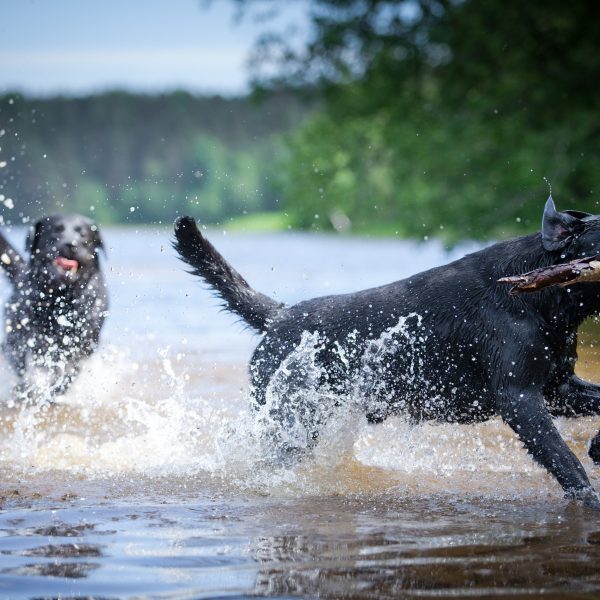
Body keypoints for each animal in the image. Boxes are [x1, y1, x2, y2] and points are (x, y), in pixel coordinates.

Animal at [0, 213, 108, 400]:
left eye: (82, 234)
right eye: (56, 231)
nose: (71, 244)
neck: (61, 300)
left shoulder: (83, 341)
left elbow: (71, 368)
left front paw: (56, 388)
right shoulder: (30, 338)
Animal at [172, 199, 600, 508]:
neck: (544, 297)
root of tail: (279, 316)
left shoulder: (557, 389)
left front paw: (597, 445)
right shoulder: (519, 398)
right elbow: (565, 460)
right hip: (291, 422)